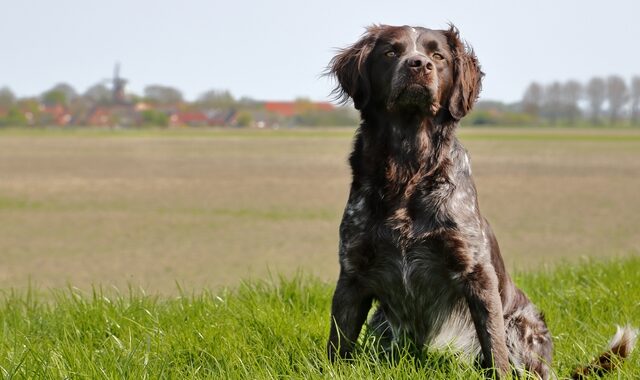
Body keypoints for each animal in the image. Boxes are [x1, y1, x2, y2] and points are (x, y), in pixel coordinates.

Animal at [328, 24, 636, 380]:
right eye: (391, 52)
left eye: (438, 56)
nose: (419, 65)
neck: (409, 167)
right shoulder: (353, 271)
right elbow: (337, 343)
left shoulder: (476, 272)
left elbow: (494, 345)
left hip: (521, 327)